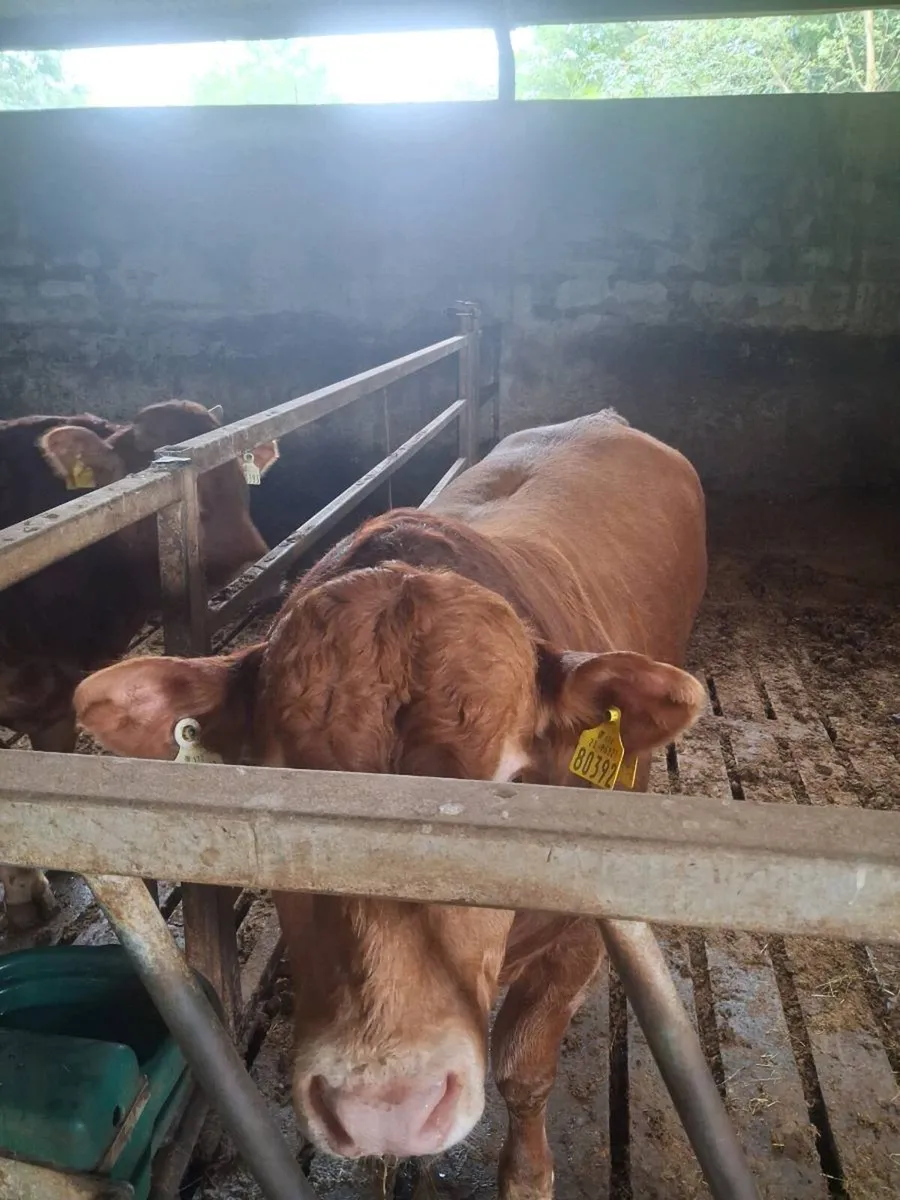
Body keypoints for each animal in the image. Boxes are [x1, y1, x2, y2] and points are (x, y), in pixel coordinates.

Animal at [74, 411, 707, 1199]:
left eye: (513, 785)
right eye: (276, 780)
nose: (386, 1107)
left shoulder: (585, 936)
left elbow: (523, 1069)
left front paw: (527, 1175)